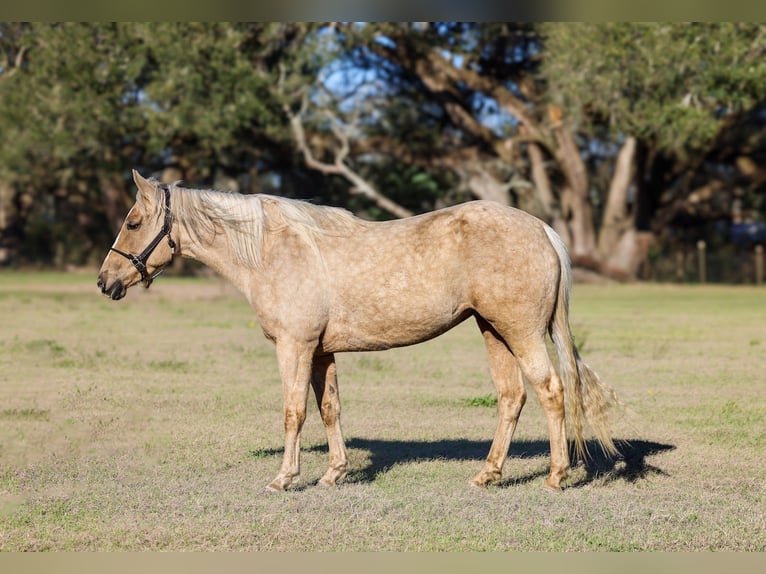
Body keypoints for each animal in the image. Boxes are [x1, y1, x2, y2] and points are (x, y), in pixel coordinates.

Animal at [97, 170, 619, 492]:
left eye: (134, 222)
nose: (105, 281)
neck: (273, 250)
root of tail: (542, 229)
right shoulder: (321, 352)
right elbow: (329, 409)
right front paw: (334, 473)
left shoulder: (295, 348)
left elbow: (293, 412)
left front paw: (284, 478)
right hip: (494, 331)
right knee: (512, 397)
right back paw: (487, 475)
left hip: (521, 332)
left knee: (550, 390)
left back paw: (555, 476)